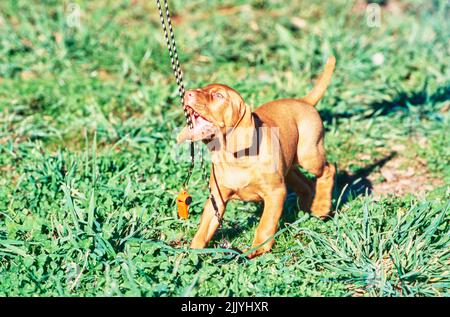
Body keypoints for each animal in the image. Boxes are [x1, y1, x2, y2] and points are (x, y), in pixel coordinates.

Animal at [178, 56, 336, 256]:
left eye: (219, 96)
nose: (188, 93)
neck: (234, 158)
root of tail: (304, 102)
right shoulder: (217, 199)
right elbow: (204, 230)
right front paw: (191, 254)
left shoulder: (276, 193)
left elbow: (266, 225)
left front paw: (258, 249)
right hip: (288, 167)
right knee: (306, 184)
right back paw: (308, 210)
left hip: (309, 155)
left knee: (328, 170)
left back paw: (321, 206)